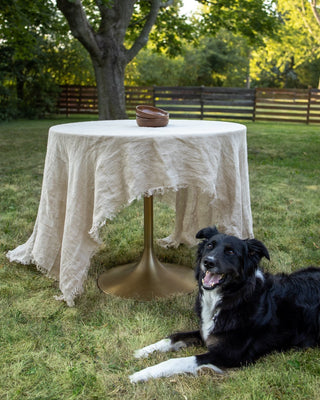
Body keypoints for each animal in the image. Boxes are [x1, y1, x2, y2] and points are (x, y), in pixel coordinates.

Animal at [129, 227, 320, 382]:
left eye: (230, 252)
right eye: (209, 246)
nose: (208, 262)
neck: (233, 297)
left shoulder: (230, 355)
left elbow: (179, 360)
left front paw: (142, 374)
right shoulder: (206, 331)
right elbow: (173, 337)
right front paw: (142, 351)